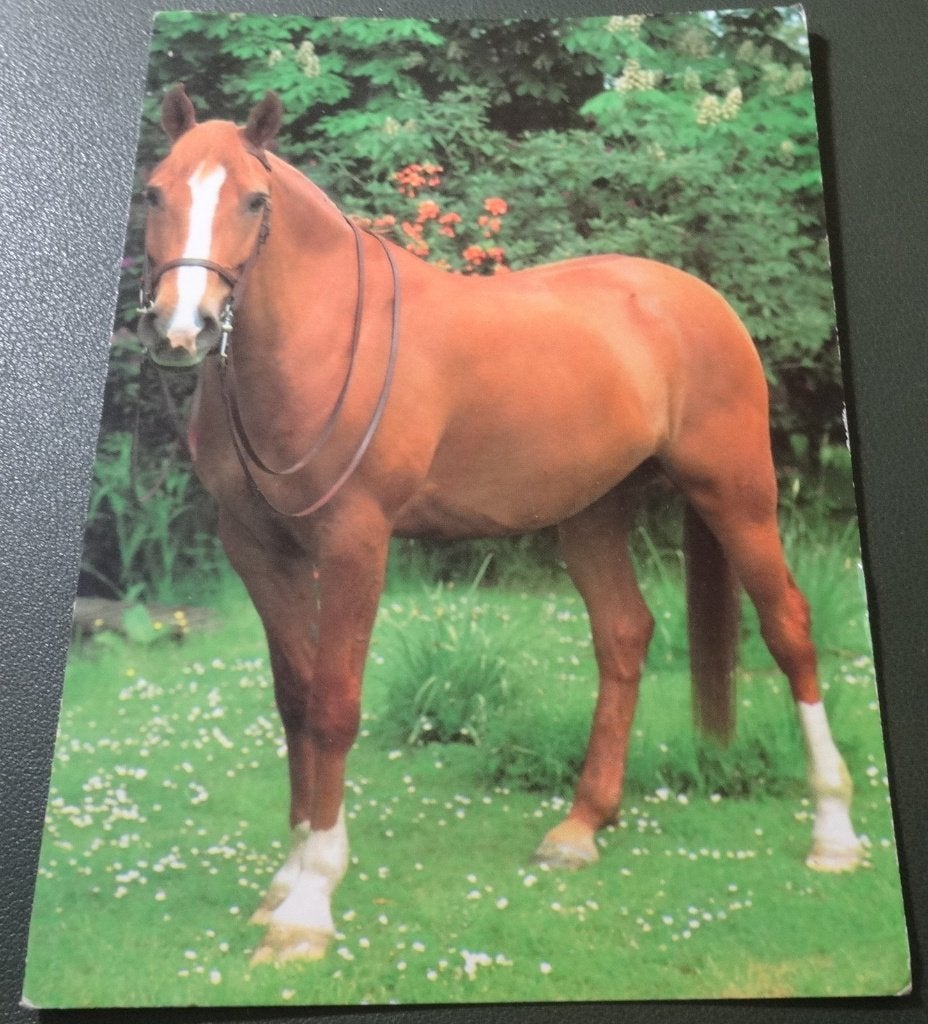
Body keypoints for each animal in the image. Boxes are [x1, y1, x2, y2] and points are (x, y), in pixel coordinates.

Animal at [137, 84, 862, 965]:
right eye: (156, 193)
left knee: (789, 627)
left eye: (253, 200)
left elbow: (335, 707)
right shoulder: (259, 550)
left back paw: (834, 831)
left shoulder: (354, 544)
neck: (317, 345)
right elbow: (295, 701)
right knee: (624, 636)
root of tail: (694, 297)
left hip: (737, 494)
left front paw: (309, 905)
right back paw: (582, 827)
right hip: (593, 513)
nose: (184, 328)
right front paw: (288, 875)